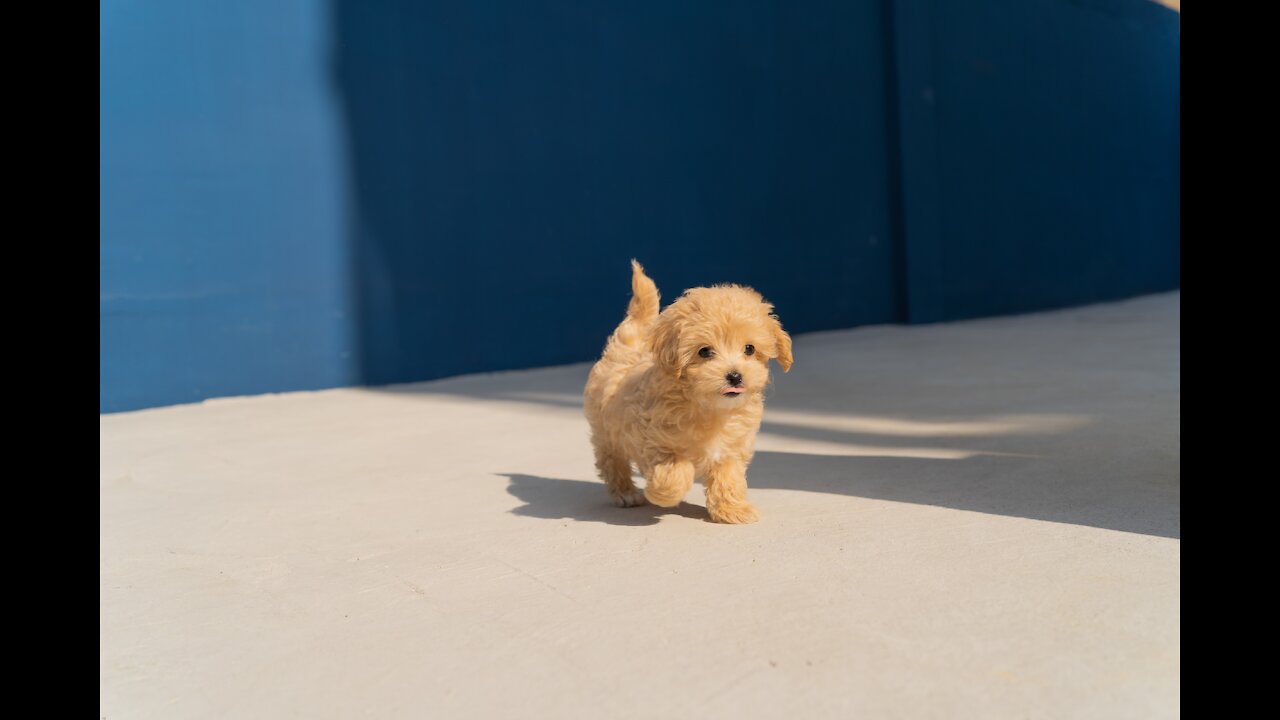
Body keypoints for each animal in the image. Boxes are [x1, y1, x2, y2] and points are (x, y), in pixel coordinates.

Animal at [586, 260, 788, 517]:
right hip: (607, 433)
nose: (734, 376)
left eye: (749, 349)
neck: (710, 408)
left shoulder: (730, 450)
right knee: (612, 461)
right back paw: (626, 493)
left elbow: (728, 478)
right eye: (704, 351)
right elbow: (676, 472)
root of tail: (629, 343)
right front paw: (662, 494)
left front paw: (732, 509)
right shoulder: (655, 443)